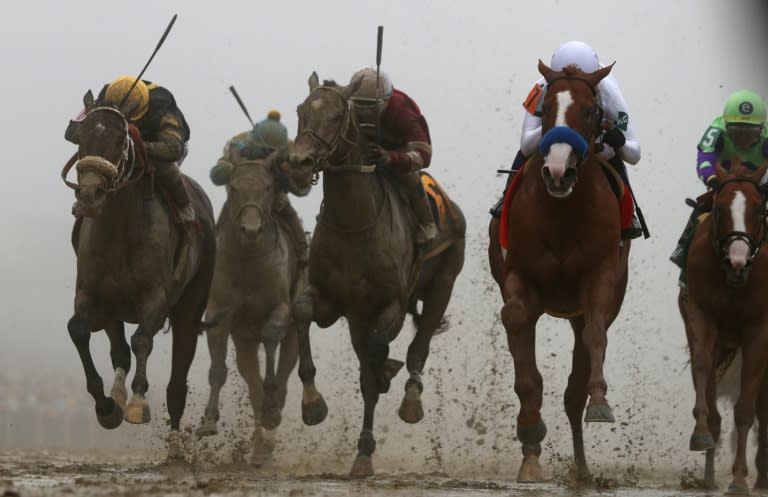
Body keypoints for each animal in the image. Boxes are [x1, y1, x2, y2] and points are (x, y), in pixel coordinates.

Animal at [60, 92, 214, 458]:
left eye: (121, 139)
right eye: (80, 136)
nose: (89, 195)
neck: (119, 230)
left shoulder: (155, 297)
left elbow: (142, 339)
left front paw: (138, 403)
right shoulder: (92, 294)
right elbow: (79, 330)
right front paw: (106, 405)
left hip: (190, 306)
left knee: (177, 380)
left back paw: (174, 445)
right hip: (115, 307)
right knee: (119, 352)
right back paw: (116, 395)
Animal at [195, 155, 304, 464]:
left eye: (268, 187)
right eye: (233, 187)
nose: (251, 230)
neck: (249, 261)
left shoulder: (280, 309)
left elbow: (271, 339)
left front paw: (272, 408)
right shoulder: (219, 315)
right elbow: (218, 369)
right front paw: (209, 420)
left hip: (294, 333)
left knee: (284, 373)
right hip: (244, 342)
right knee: (252, 385)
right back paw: (259, 447)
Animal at [282, 71, 462, 474]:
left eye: (336, 116)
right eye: (301, 110)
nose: (298, 163)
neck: (354, 223)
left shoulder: (390, 305)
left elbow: (375, 357)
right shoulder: (334, 302)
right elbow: (301, 312)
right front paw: (312, 403)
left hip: (443, 283)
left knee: (418, 348)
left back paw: (408, 402)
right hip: (358, 318)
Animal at [486, 61, 632, 480]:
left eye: (591, 110)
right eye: (545, 107)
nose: (557, 170)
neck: (563, 214)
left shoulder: (600, 277)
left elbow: (596, 333)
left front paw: (600, 402)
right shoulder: (521, 278)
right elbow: (515, 319)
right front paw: (530, 425)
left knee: (574, 388)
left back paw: (582, 468)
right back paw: (533, 453)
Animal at [680, 158, 768, 492]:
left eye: (759, 209)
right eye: (719, 209)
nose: (737, 260)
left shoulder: (759, 328)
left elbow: (745, 409)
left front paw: (740, 478)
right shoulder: (699, 311)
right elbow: (702, 364)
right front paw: (701, 434)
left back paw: (759, 477)